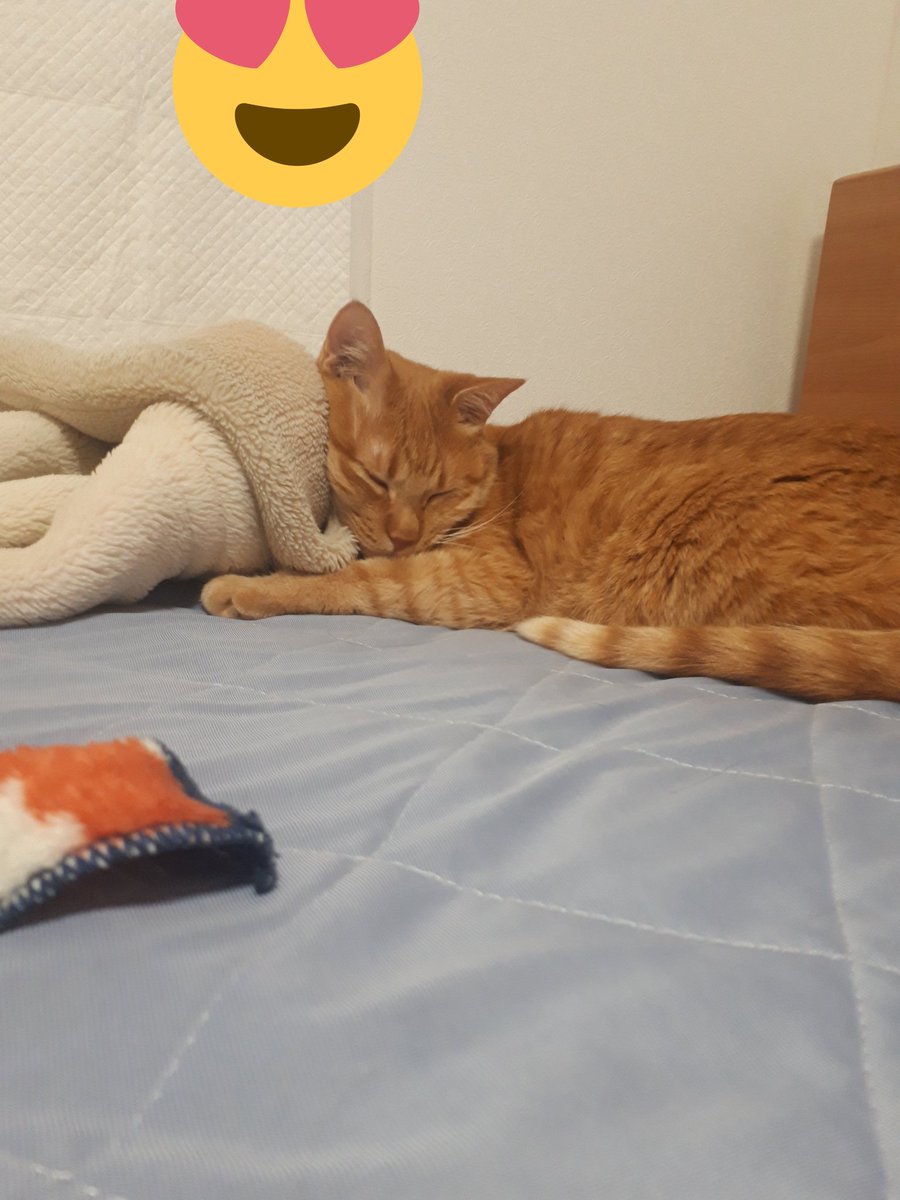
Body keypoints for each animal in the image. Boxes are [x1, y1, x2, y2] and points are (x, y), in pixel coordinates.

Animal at [201, 301, 900, 702]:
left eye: (440, 492)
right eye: (376, 478)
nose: (403, 536)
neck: (496, 477)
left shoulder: (485, 576)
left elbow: (358, 581)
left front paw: (253, 587)